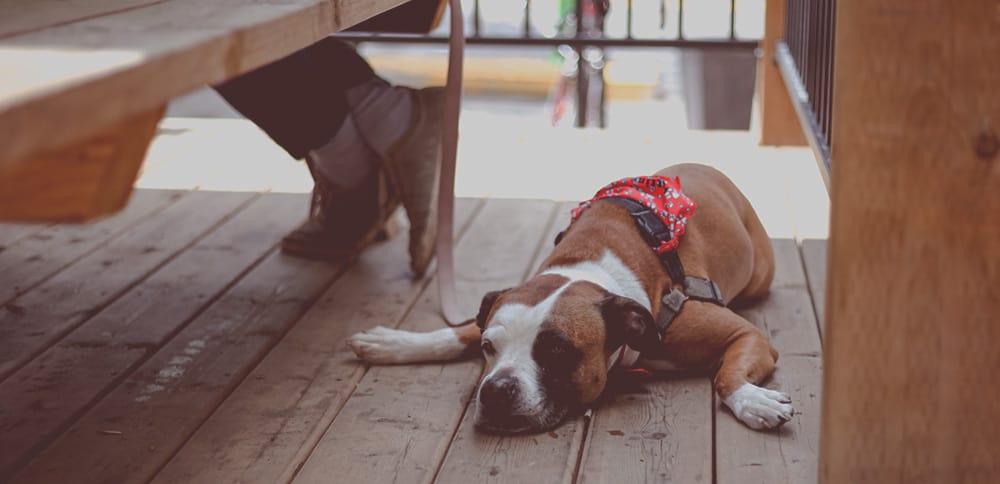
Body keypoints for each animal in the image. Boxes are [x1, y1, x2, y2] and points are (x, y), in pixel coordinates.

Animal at [348, 164, 792, 434]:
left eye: (557, 351)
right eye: (489, 347)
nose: (494, 390)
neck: (592, 274)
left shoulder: (746, 336)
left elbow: (726, 374)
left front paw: (751, 400)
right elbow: (458, 331)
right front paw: (393, 342)